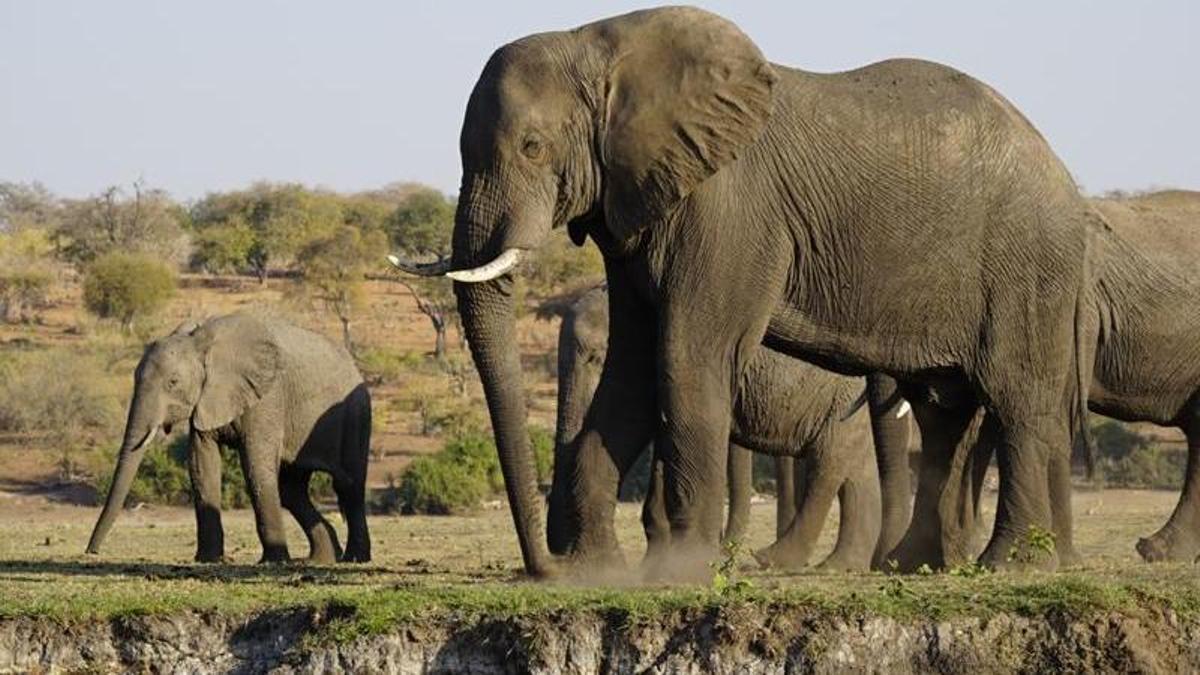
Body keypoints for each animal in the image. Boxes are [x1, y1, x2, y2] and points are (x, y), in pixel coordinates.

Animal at [86, 312, 372, 564]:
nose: (92, 552)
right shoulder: (205, 401)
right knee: (292, 489)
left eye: (173, 382)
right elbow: (201, 465)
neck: (202, 344)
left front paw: (274, 562)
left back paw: (354, 558)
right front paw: (208, 560)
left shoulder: (267, 397)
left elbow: (255, 467)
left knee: (347, 485)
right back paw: (321, 559)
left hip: (356, 413)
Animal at [544, 285, 912, 571]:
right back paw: (839, 566)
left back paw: (772, 559)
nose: (558, 550)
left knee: (829, 462)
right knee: (856, 469)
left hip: (841, 396)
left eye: (596, 358)